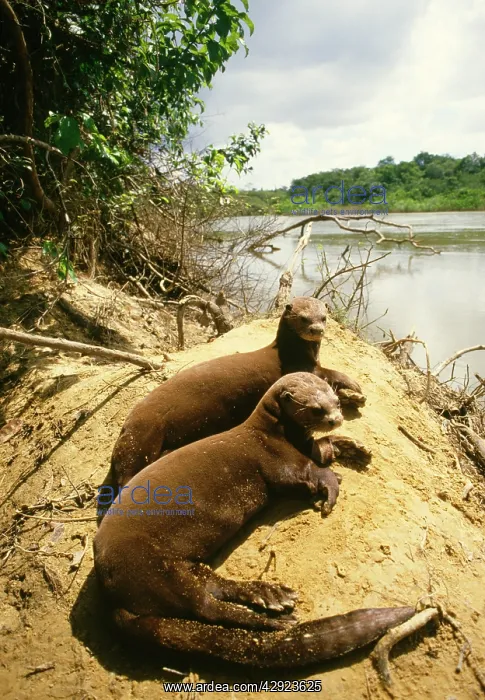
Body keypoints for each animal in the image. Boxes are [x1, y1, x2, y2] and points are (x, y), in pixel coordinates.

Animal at [95, 373, 413, 668]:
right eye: (315, 409)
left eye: (336, 401)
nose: (335, 419)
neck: (274, 433)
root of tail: (107, 590)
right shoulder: (275, 458)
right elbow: (306, 471)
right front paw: (331, 481)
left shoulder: (304, 446)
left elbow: (323, 448)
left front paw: (354, 447)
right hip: (150, 568)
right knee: (205, 607)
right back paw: (272, 620)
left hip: (182, 567)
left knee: (215, 588)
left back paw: (271, 596)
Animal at [111, 297, 366, 487]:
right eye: (304, 318)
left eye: (323, 317)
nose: (316, 329)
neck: (295, 352)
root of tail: (128, 425)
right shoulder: (306, 368)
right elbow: (330, 374)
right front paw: (354, 388)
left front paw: (352, 397)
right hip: (147, 433)